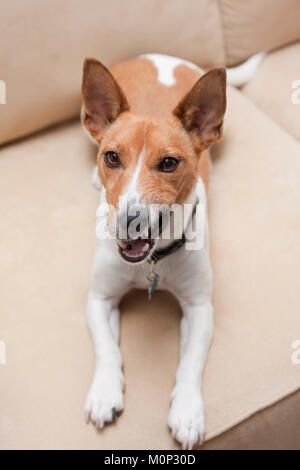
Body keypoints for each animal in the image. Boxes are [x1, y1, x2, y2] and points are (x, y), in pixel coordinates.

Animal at [81, 52, 264, 452]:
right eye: (112, 158)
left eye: (169, 163)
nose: (129, 221)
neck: (151, 264)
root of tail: (158, 56)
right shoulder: (99, 298)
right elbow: (106, 347)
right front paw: (104, 392)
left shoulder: (200, 308)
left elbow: (191, 362)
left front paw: (187, 411)